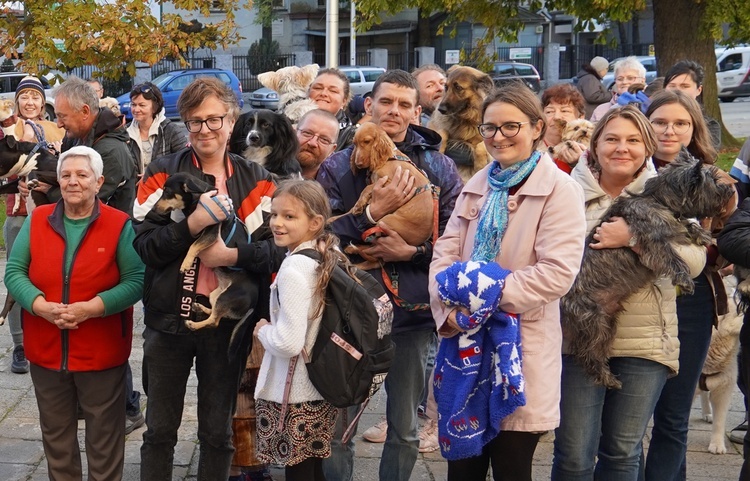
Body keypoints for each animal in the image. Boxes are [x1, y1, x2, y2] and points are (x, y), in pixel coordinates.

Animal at [151, 171, 260, 336]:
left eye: (167, 192)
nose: (153, 209)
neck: (198, 199)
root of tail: (254, 304)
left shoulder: (211, 233)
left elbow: (193, 245)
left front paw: (186, 264)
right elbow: (193, 242)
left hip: (226, 297)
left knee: (214, 322)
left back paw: (193, 324)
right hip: (216, 295)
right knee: (216, 313)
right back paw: (199, 307)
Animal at [340, 122, 438, 270]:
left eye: (367, 141)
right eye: (355, 143)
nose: (357, 164)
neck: (389, 158)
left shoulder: (390, 182)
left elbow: (368, 188)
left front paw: (359, 205)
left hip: (384, 222)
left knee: (376, 253)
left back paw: (355, 251)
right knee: (375, 257)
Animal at [564, 151, 736, 390]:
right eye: (713, 182)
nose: (730, 190)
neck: (657, 200)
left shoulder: (673, 225)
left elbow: (686, 225)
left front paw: (702, 234)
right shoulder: (653, 243)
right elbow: (672, 257)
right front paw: (685, 280)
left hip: (608, 322)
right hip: (594, 323)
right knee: (589, 354)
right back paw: (606, 378)